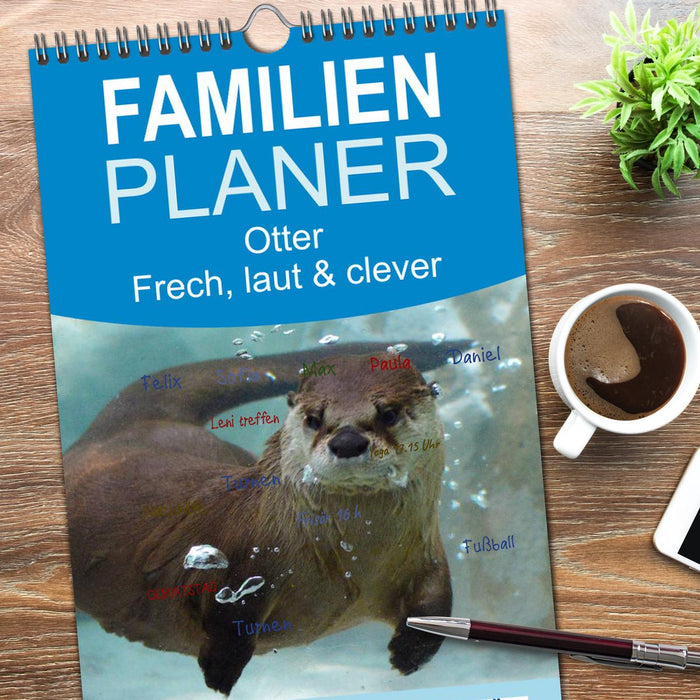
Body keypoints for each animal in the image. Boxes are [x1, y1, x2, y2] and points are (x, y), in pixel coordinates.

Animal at [64, 342, 452, 695]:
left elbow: (438, 600)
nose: (346, 441)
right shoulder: (240, 557)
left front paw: (410, 654)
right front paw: (221, 670)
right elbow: (227, 615)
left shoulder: (426, 554)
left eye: (388, 413)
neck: (355, 561)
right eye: (314, 418)